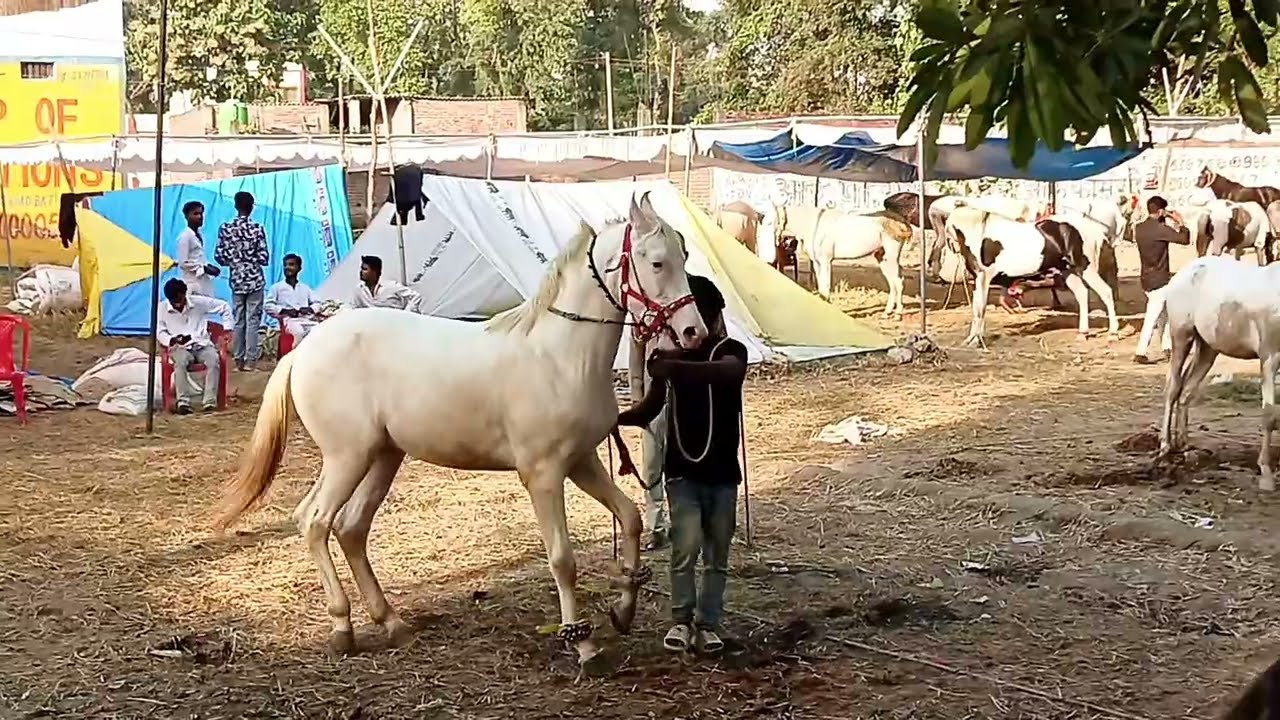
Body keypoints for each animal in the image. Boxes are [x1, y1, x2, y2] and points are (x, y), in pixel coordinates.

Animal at [213, 192, 708, 670]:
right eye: (657, 262)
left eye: (682, 255)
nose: (694, 333)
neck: (558, 355)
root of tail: (305, 349)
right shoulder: (543, 475)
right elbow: (562, 559)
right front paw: (584, 646)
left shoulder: (581, 462)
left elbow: (630, 518)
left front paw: (623, 609)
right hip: (347, 457)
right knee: (315, 521)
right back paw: (342, 629)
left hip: (383, 457)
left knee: (351, 527)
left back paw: (392, 622)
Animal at [761, 203, 914, 315]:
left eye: (769, 222)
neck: (815, 225)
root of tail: (902, 222)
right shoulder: (817, 263)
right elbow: (821, 287)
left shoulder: (826, 261)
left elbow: (826, 286)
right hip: (883, 257)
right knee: (892, 282)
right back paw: (887, 312)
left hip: (892, 256)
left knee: (898, 281)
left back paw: (898, 313)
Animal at [944, 205, 1120, 347]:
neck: (980, 232)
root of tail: (1096, 230)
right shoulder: (978, 280)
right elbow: (976, 308)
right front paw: (971, 339)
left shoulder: (984, 277)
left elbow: (980, 308)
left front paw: (976, 340)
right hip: (1068, 271)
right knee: (1082, 294)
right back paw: (1083, 333)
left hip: (1086, 269)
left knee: (1106, 292)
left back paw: (1113, 334)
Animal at [1157, 255, 1280, 490]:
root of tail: (1184, 272)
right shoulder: (1270, 356)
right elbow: (1269, 414)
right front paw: (1266, 476)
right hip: (1182, 335)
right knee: (1173, 387)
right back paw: (1165, 446)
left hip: (1208, 347)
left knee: (1187, 390)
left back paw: (1184, 444)